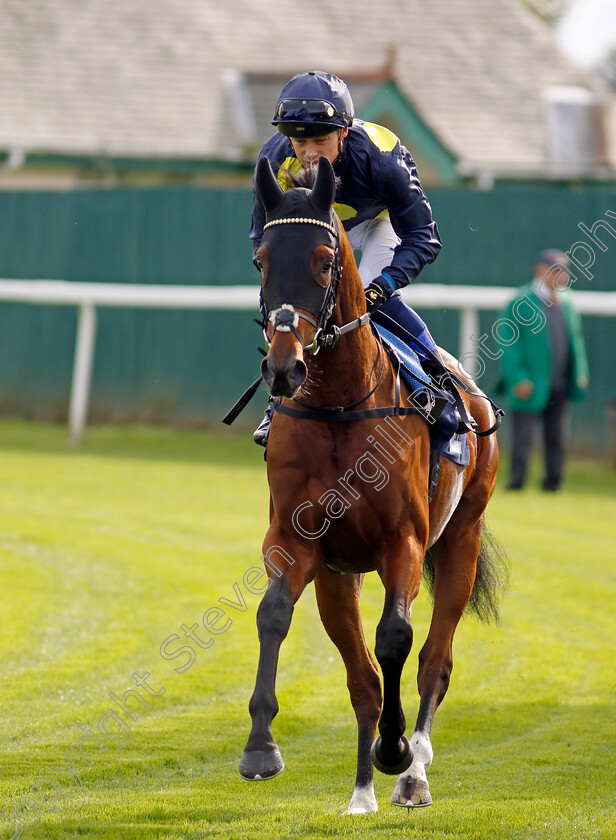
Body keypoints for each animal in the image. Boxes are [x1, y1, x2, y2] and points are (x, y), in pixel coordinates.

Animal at [239, 156, 506, 812]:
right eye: (261, 259)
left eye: (324, 259)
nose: (283, 367)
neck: (339, 403)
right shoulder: (297, 541)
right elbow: (274, 615)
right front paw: (260, 748)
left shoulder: (402, 541)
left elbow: (395, 638)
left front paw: (396, 749)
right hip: (339, 576)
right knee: (360, 676)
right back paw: (361, 794)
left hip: (460, 537)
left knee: (435, 658)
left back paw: (413, 773)